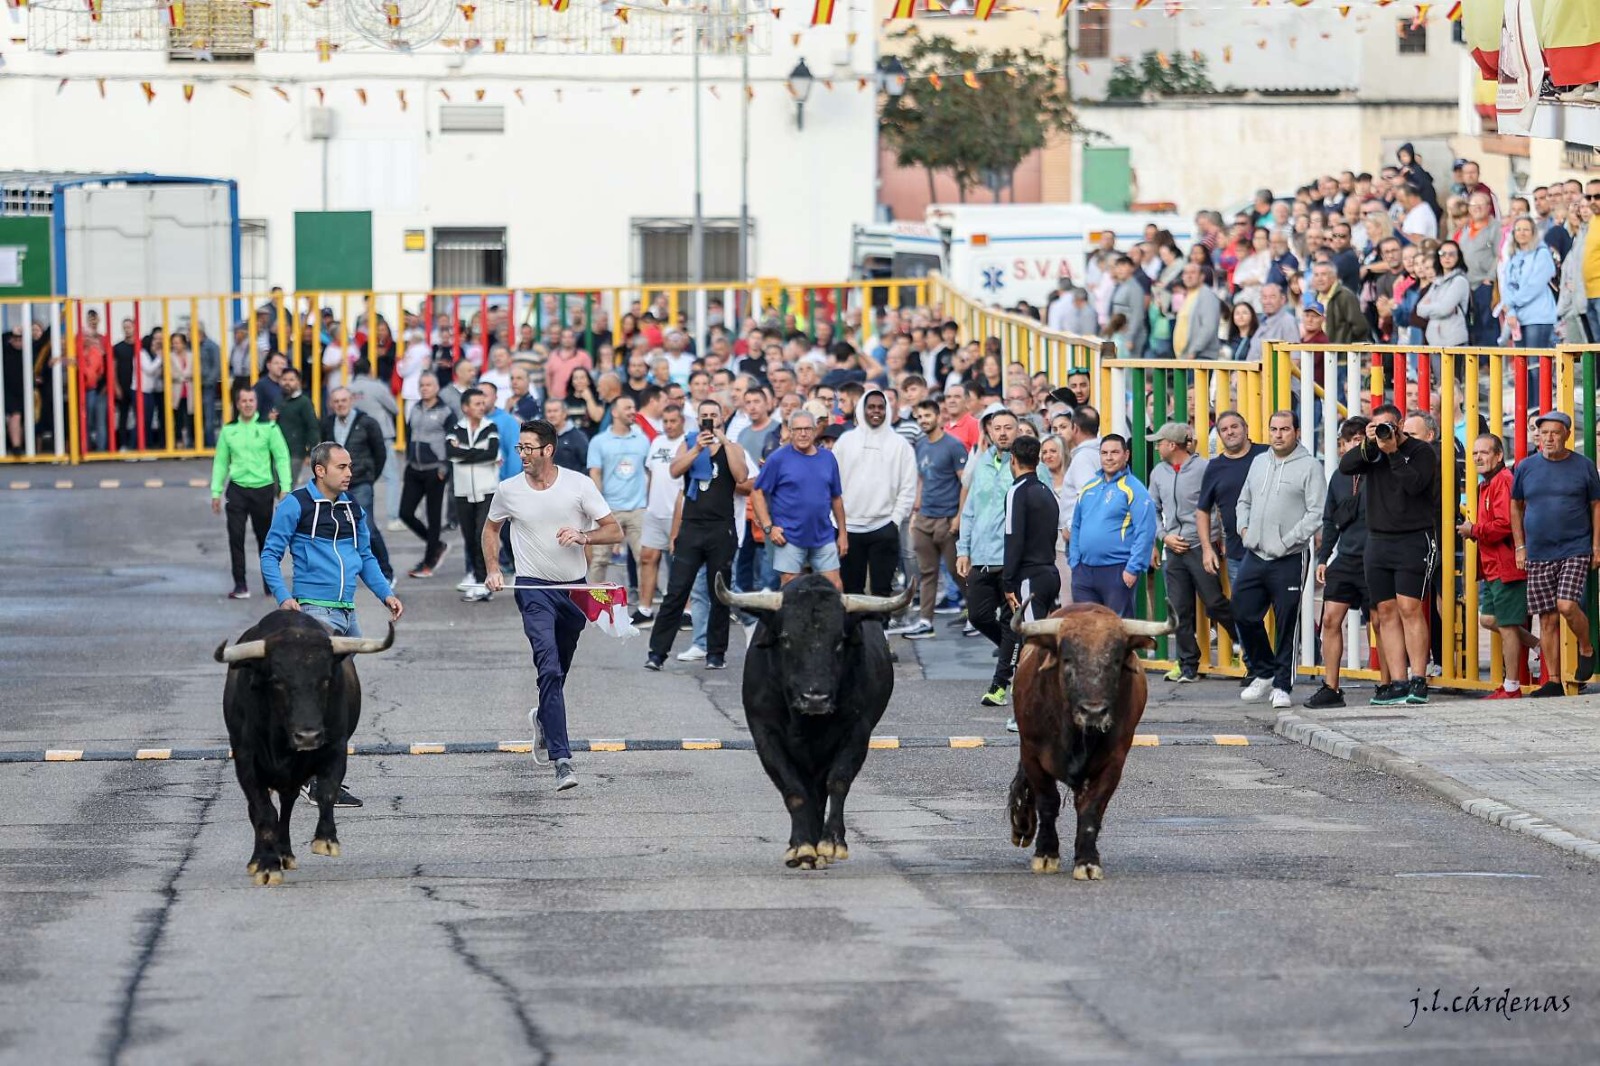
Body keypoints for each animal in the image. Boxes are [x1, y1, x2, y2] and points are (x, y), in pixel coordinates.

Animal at [212, 611, 393, 883]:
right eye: (277, 681)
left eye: (326, 680)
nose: (308, 736)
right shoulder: (246, 761)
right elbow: (263, 812)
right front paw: (266, 866)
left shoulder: (335, 748)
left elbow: (327, 791)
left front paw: (325, 840)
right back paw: (261, 859)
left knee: (287, 807)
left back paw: (285, 853)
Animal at [716, 573, 915, 864]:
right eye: (786, 639)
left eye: (840, 641)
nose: (815, 698)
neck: (806, 722)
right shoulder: (764, 733)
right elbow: (794, 790)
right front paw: (801, 846)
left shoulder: (857, 732)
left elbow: (838, 782)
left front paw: (831, 843)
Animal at [1004, 601, 1171, 877]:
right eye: (1068, 660)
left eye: (1116, 660)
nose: (1093, 711)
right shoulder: (1032, 753)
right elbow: (1048, 802)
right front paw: (1046, 854)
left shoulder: (1113, 762)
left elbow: (1092, 809)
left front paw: (1087, 861)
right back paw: (1022, 824)